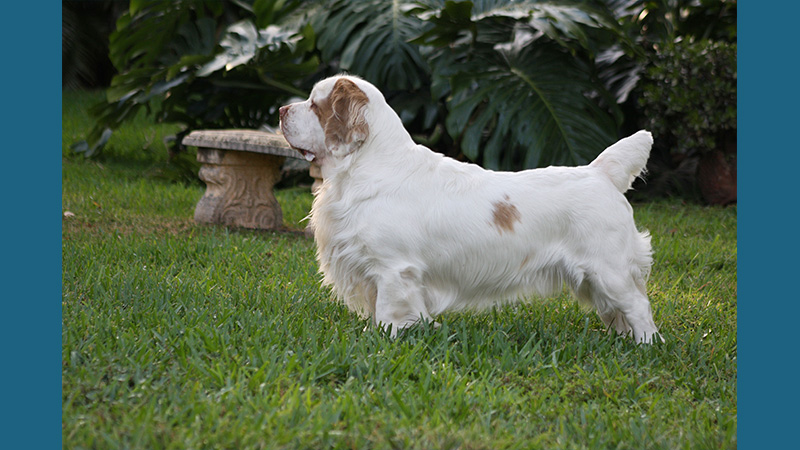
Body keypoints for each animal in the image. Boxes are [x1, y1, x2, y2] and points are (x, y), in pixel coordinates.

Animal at [282, 74, 664, 342]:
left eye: (315, 105)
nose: (283, 110)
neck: (365, 168)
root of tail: (600, 173)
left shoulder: (393, 269)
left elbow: (391, 312)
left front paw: (386, 340)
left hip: (609, 270)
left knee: (638, 306)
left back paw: (647, 345)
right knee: (617, 312)